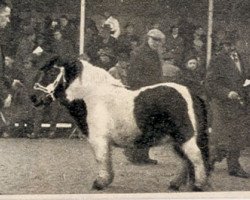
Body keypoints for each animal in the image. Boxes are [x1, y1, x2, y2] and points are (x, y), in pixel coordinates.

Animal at [30, 55, 210, 191]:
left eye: (51, 74)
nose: (33, 97)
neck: (91, 96)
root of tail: (192, 95)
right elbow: (106, 159)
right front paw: (106, 180)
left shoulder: (99, 139)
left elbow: (101, 159)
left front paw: (100, 183)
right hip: (176, 139)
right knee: (186, 160)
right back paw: (176, 184)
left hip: (184, 136)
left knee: (195, 156)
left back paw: (199, 185)